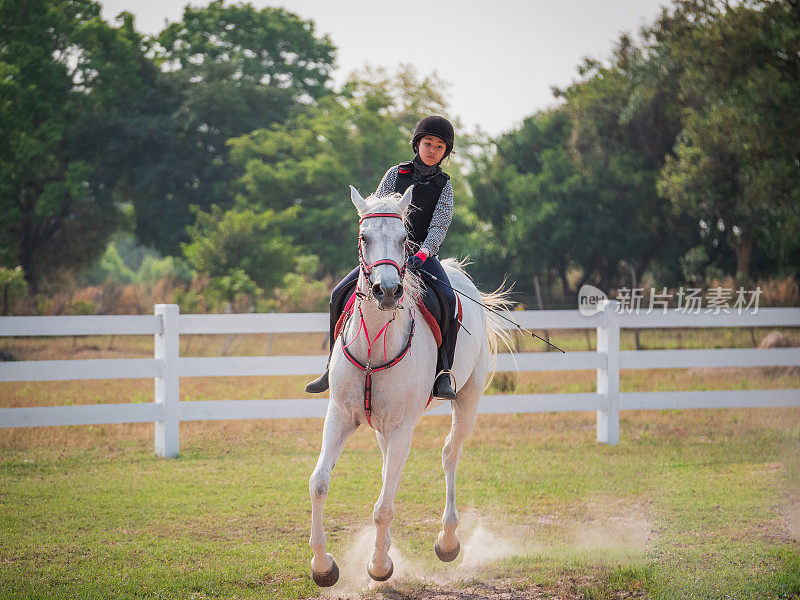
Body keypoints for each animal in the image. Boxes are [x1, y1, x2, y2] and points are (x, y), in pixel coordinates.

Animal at [310, 184, 510, 584]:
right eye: (364, 237)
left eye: (404, 239)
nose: (386, 290)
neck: (374, 343)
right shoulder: (340, 416)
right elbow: (320, 482)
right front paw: (323, 566)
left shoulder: (402, 427)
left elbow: (384, 507)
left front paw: (379, 566)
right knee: (389, 469)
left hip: (467, 400)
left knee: (450, 453)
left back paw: (447, 541)